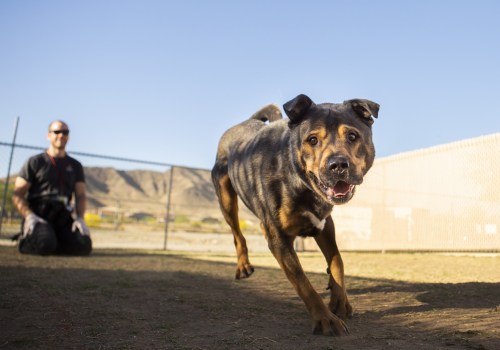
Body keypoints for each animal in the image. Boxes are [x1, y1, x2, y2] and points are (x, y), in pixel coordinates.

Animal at [211, 93, 378, 336]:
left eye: (352, 136)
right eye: (312, 140)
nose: (338, 165)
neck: (298, 180)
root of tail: (244, 123)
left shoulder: (324, 224)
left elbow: (337, 260)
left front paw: (339, 301)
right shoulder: (279, 240)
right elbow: (303, 282)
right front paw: (325, 320)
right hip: (225, 197)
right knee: (237, 233)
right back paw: (243, 266)